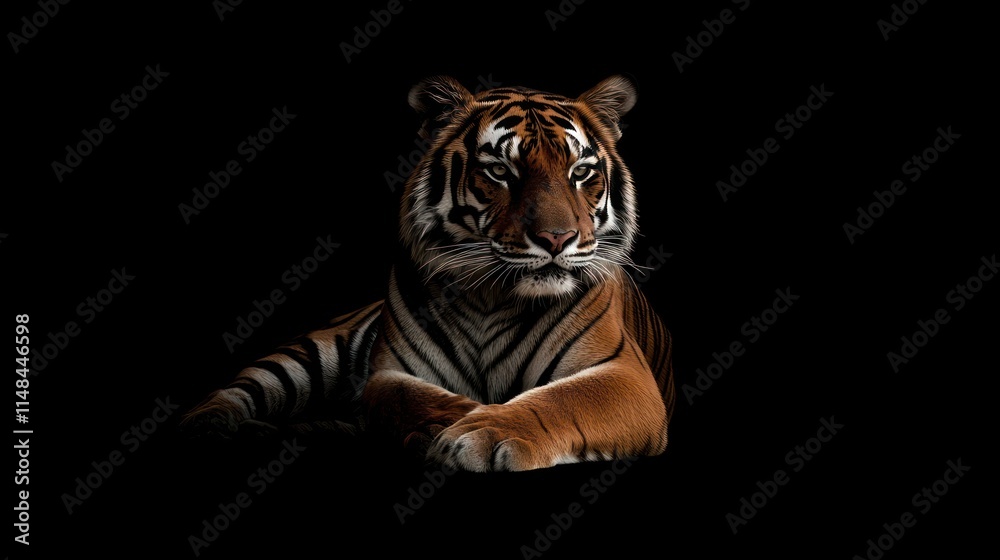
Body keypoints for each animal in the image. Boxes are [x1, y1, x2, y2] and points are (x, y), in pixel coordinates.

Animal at [181, 75, 676, 472]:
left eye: (581, 172)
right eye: (500, 171)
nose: (557, 239)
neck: (494, 297)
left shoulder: (623, 374)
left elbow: (558, 400)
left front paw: (483, 431)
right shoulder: (391, 373)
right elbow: (408, 398)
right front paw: (455, 424)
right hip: (307, 353)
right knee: (236, 392)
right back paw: (213, 428)